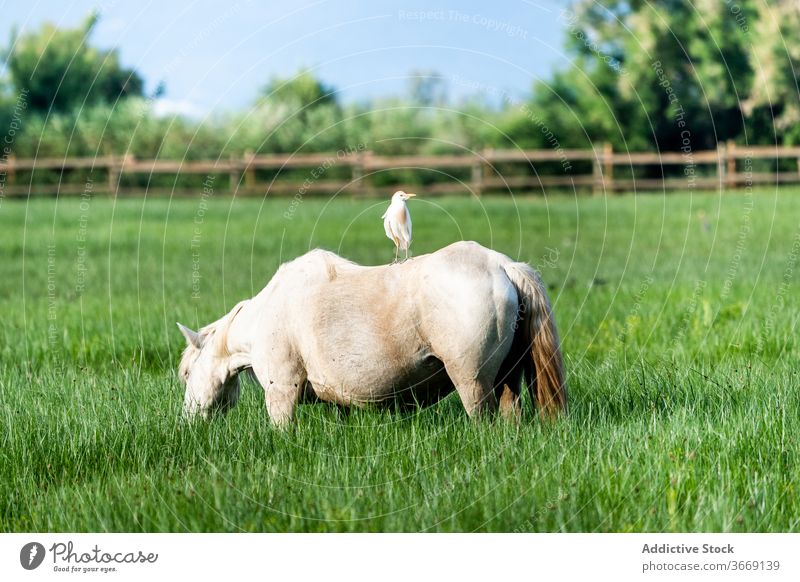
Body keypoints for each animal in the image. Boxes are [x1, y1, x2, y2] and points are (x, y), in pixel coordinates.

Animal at [178, 240, 564, 426]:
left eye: (185, 374)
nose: (188, 422)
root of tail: (502, 265)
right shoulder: (339, 401)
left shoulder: (281, 394)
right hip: (507, 381)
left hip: (473, 383)